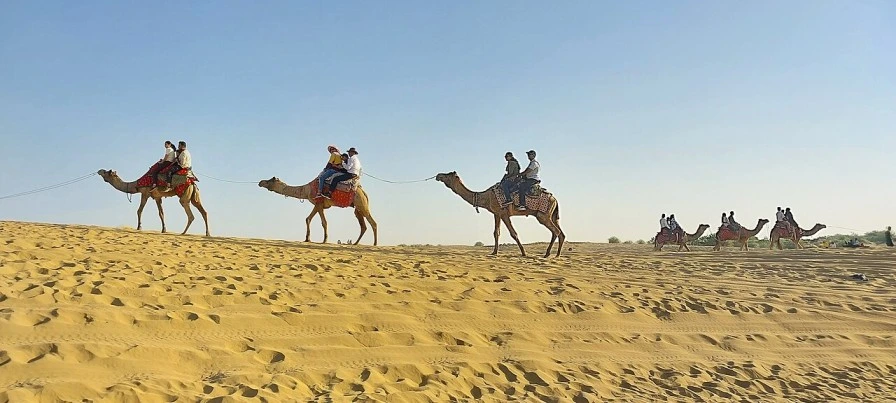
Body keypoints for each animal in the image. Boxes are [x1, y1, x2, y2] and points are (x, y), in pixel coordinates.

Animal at [435, 171, 565, 258]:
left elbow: (513, 233)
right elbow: (496, 233)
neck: (486, 196)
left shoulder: (503, 213)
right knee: (560, 233)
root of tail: (555, 199)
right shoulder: (496, 214)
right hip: (553, 215)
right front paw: (494, 252)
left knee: (556, 231)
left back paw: (550, 254)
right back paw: (555, 254)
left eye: (448, 175)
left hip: (542, 215)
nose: (438, 175)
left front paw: (523, 252)